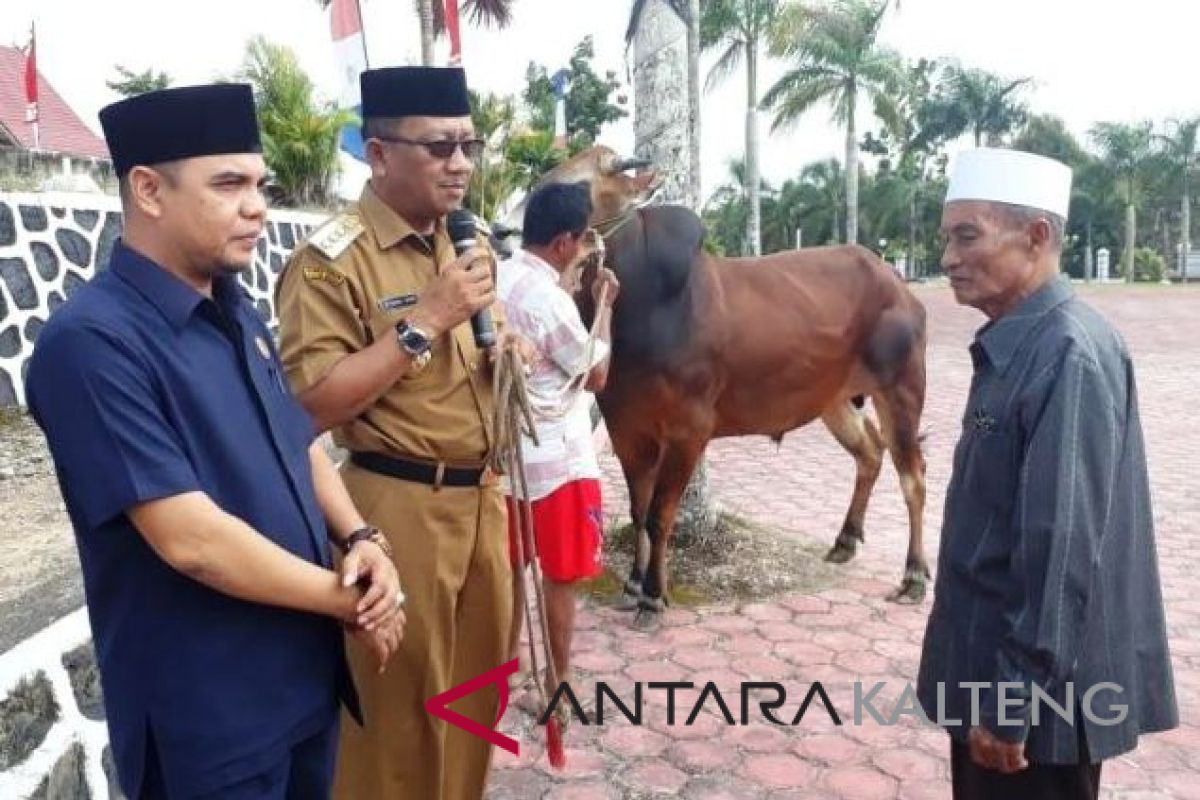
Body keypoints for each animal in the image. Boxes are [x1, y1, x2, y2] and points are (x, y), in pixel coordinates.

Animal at [516, 149, 926, 623]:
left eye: (582, 188)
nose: (512, 232)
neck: (647, 305)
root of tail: (895, 280)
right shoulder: (626, 429)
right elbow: (638, 511)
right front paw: (633, 584)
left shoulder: (688, 432)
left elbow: (659, 516)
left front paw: (653, 596)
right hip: (834, 401)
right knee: (870, 453)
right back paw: (844, 541)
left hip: (902, 390)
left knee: (913, 477)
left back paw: (914, 576)